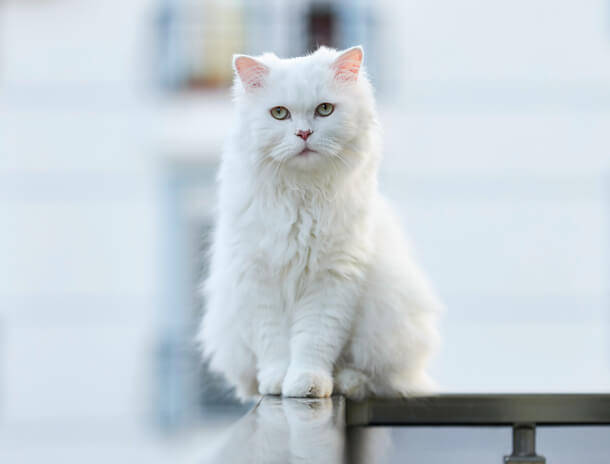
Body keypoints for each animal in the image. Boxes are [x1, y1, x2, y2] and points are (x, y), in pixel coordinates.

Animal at [200, 45, 442, 398]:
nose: (304, 133)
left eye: (324, 110)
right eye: (279, 114)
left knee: (373, 377)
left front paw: (307, 384)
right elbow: (273, 345)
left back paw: (345, 382)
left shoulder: (333, 278)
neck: (302, 195)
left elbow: (313, 342)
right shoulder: (258, 278)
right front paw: (277, 382)